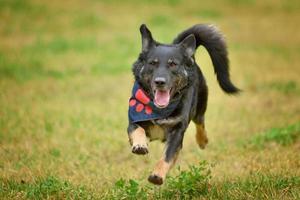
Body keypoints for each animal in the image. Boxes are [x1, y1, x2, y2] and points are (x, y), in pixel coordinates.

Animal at [126, 24, 239, 185]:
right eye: (152, 63)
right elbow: (137, 130)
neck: (159, 110)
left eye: (173, 64)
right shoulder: (133, 119)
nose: (159, 82)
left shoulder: (177, 132)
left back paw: (202, 140)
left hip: (199, 106)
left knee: (200, 122)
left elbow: (167, 156)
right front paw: (140, 145)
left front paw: (157, 175)